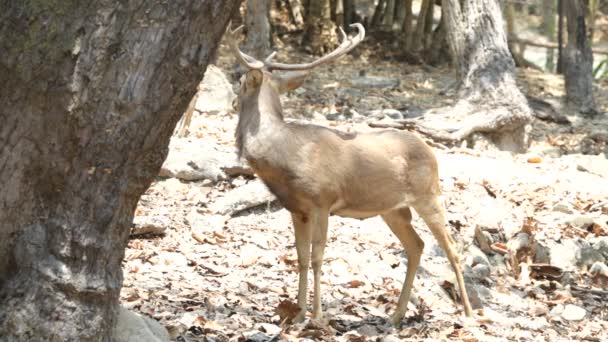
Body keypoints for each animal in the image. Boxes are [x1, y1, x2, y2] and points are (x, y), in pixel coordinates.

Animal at [226, 22, 472, 324]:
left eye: (240, 81)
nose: (232, 101)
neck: (286, 154)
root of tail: (431, 151)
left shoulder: (322, 200)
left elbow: (318, 256)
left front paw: (317, 316)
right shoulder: (297, 208)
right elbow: (301, 257)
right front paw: (297, 314)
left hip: (429, 194)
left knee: (452, 248)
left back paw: (469, 312)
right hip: (392, 209)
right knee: (417, 245)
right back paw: (396, 315)